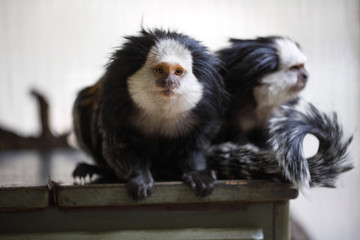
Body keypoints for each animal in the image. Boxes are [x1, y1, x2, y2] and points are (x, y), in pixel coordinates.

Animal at [71, 28, 226, 201]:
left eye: (178, 72)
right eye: (160, 70)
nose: (170, 82)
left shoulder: (204, 112)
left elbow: (195, 146)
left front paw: (196, 172)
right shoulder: (115, 108)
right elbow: (119, 146)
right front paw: (139, 176)